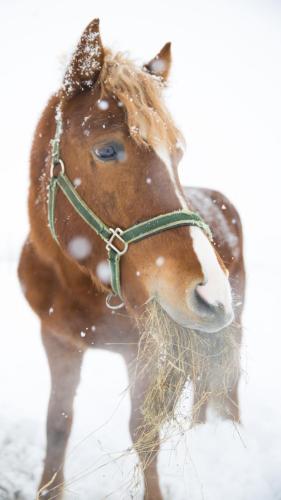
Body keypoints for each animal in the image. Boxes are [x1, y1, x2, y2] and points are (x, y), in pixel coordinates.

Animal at [18, 18, 245, 500]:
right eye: (106, 150)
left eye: (177, 154)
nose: (211, 293)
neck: (80, 282)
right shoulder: (58, 340)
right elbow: (57, 424)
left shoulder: (147, 353)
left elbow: (145, 433)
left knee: (226, 388)